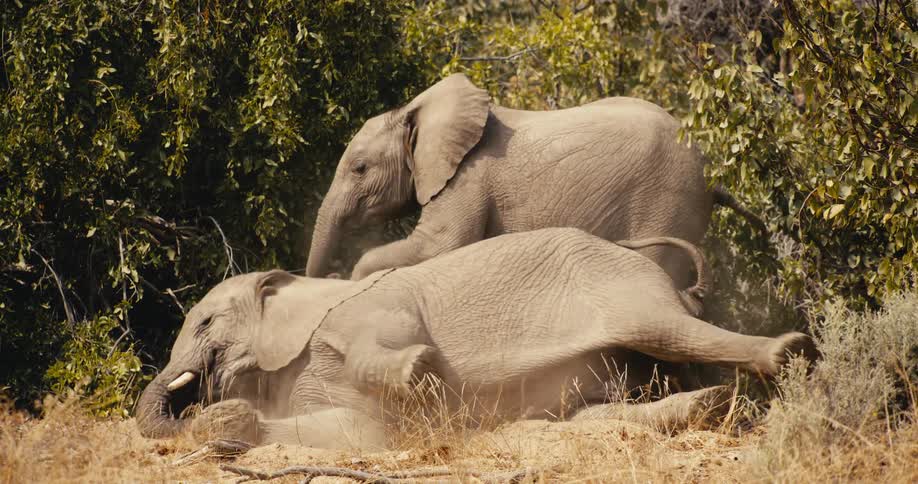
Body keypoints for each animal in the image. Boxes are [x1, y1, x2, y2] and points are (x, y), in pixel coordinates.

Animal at [137, 228, 814, 449]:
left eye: (205, 324)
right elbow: (358, 432)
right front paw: (225, 423)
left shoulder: (368, 309)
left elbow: (393, 352)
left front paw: (421, 371)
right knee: (591, 414)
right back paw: (710, 407)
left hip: (626, 290)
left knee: (674, 332)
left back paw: (792, 355)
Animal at [305, 73, 764, 286]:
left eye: (359, 169)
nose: (322, 277)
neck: (415, 110)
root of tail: (711, 174)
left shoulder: (469, 176)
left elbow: (440, 245)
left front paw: (353, 280)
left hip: (666, 202)